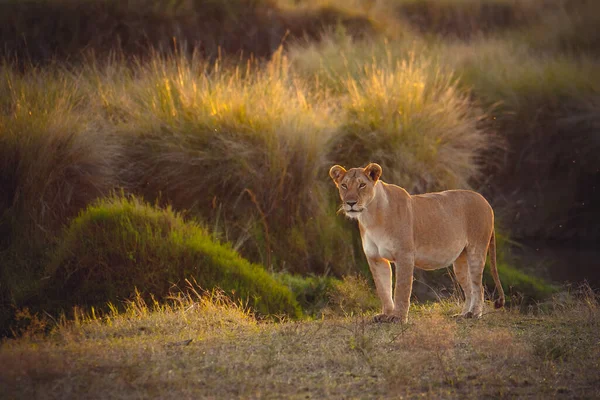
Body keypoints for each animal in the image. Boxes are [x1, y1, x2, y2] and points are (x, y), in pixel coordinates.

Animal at [330, 162, 504, 322]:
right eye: (344, 185)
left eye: (362, 185)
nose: (350, 203)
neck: (370, 216)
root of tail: (485, 201)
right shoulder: (376, 258)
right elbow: (383, 288)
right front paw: (385, 315)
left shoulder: (405, 255)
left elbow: (401, 289)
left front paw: (398, 318)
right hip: (460, 260)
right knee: (469, 288)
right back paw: (463, 315)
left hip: (477, 250)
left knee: (478, 287)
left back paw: (474, 314)